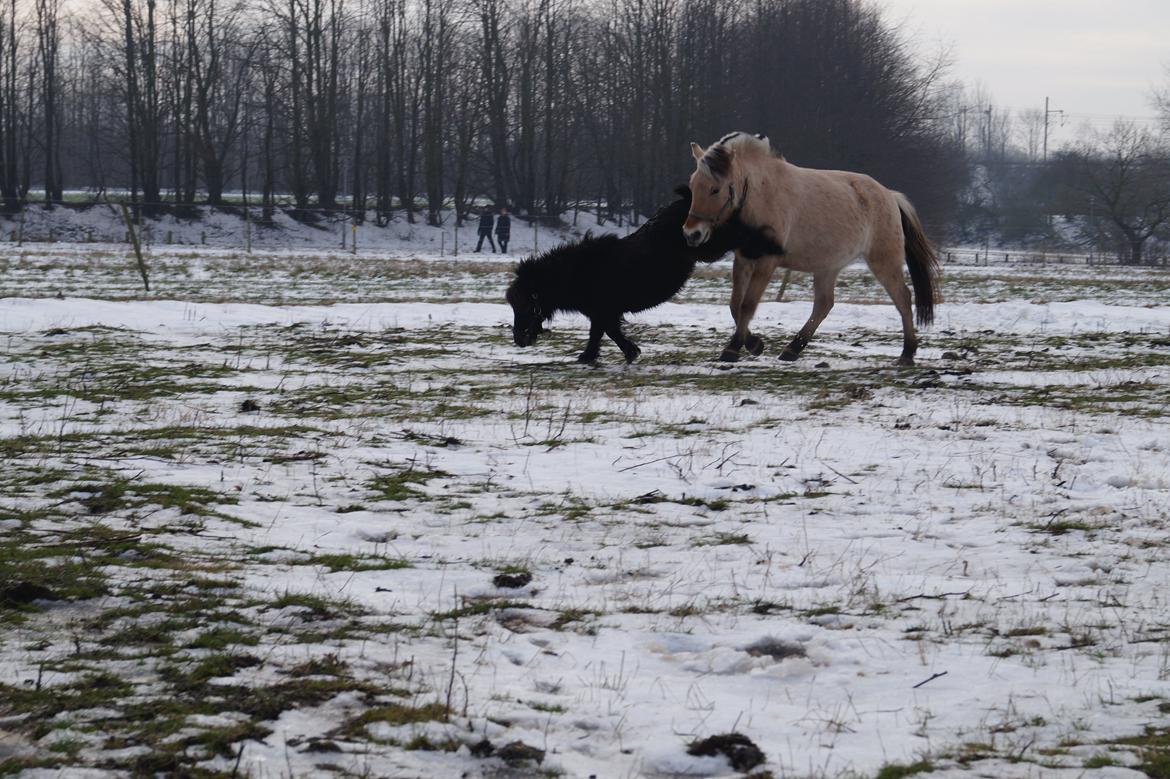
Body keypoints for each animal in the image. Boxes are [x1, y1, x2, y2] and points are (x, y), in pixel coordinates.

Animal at [507, 188, 781, 360]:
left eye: (526, 303)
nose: (519, 339)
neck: (579, 271)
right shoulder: (603, 312)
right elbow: (606, 333)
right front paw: (620, 353)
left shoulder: (604, 311)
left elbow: (605, 332)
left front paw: (601, 355)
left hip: (712, 246)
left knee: (744, 234)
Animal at [678, 132, 940, 364]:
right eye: (692, 184)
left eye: (715, 188)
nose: (691, 234)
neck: (762, 193)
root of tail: (890, 195)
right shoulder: (744, 258)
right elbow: (735, 305)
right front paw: (753, 345)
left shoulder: (767, 261)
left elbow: (747, 305)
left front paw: (732, 350)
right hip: (828, 267)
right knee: (823, 305)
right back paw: (792, 350)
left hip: (883, 261)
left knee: (902, 298)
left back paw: (907, 353)